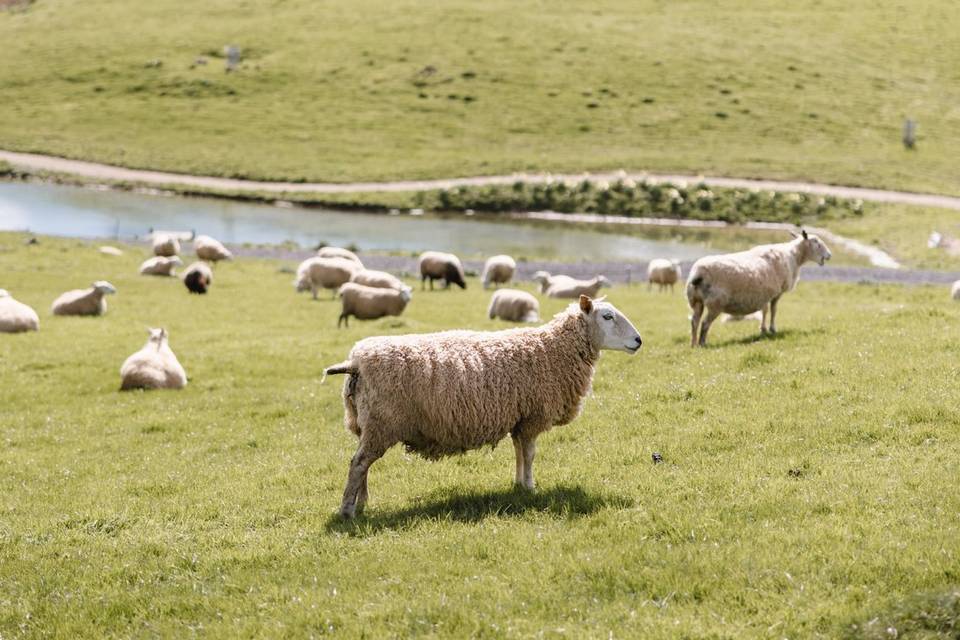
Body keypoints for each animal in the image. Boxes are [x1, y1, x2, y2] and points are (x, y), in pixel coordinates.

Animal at [324, 294, 642, 518]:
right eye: (607, 316)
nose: (638, 340)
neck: (551, 350)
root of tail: (355, 362)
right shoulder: (533, 416)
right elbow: (530, 455)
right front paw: (530, 487)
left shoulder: (519, 418)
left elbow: (519, 453)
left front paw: (518, 485)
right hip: (382, 423)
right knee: (358, 464)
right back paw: (348, 511)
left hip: (365, 424)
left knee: (362, 464)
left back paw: (362, 502)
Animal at [686, 229, 832, 347]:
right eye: (816, 243)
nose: (829, 255)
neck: (793, 257)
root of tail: (698, 273)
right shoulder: (776, 293)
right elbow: (773, 310)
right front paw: (771, 329)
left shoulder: (765, 294)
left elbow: (765, 311)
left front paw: (763, 330)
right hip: (715, 303)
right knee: (705, 323)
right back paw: (702, 343)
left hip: (696, 301)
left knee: (694, 321)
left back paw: (693, 344)